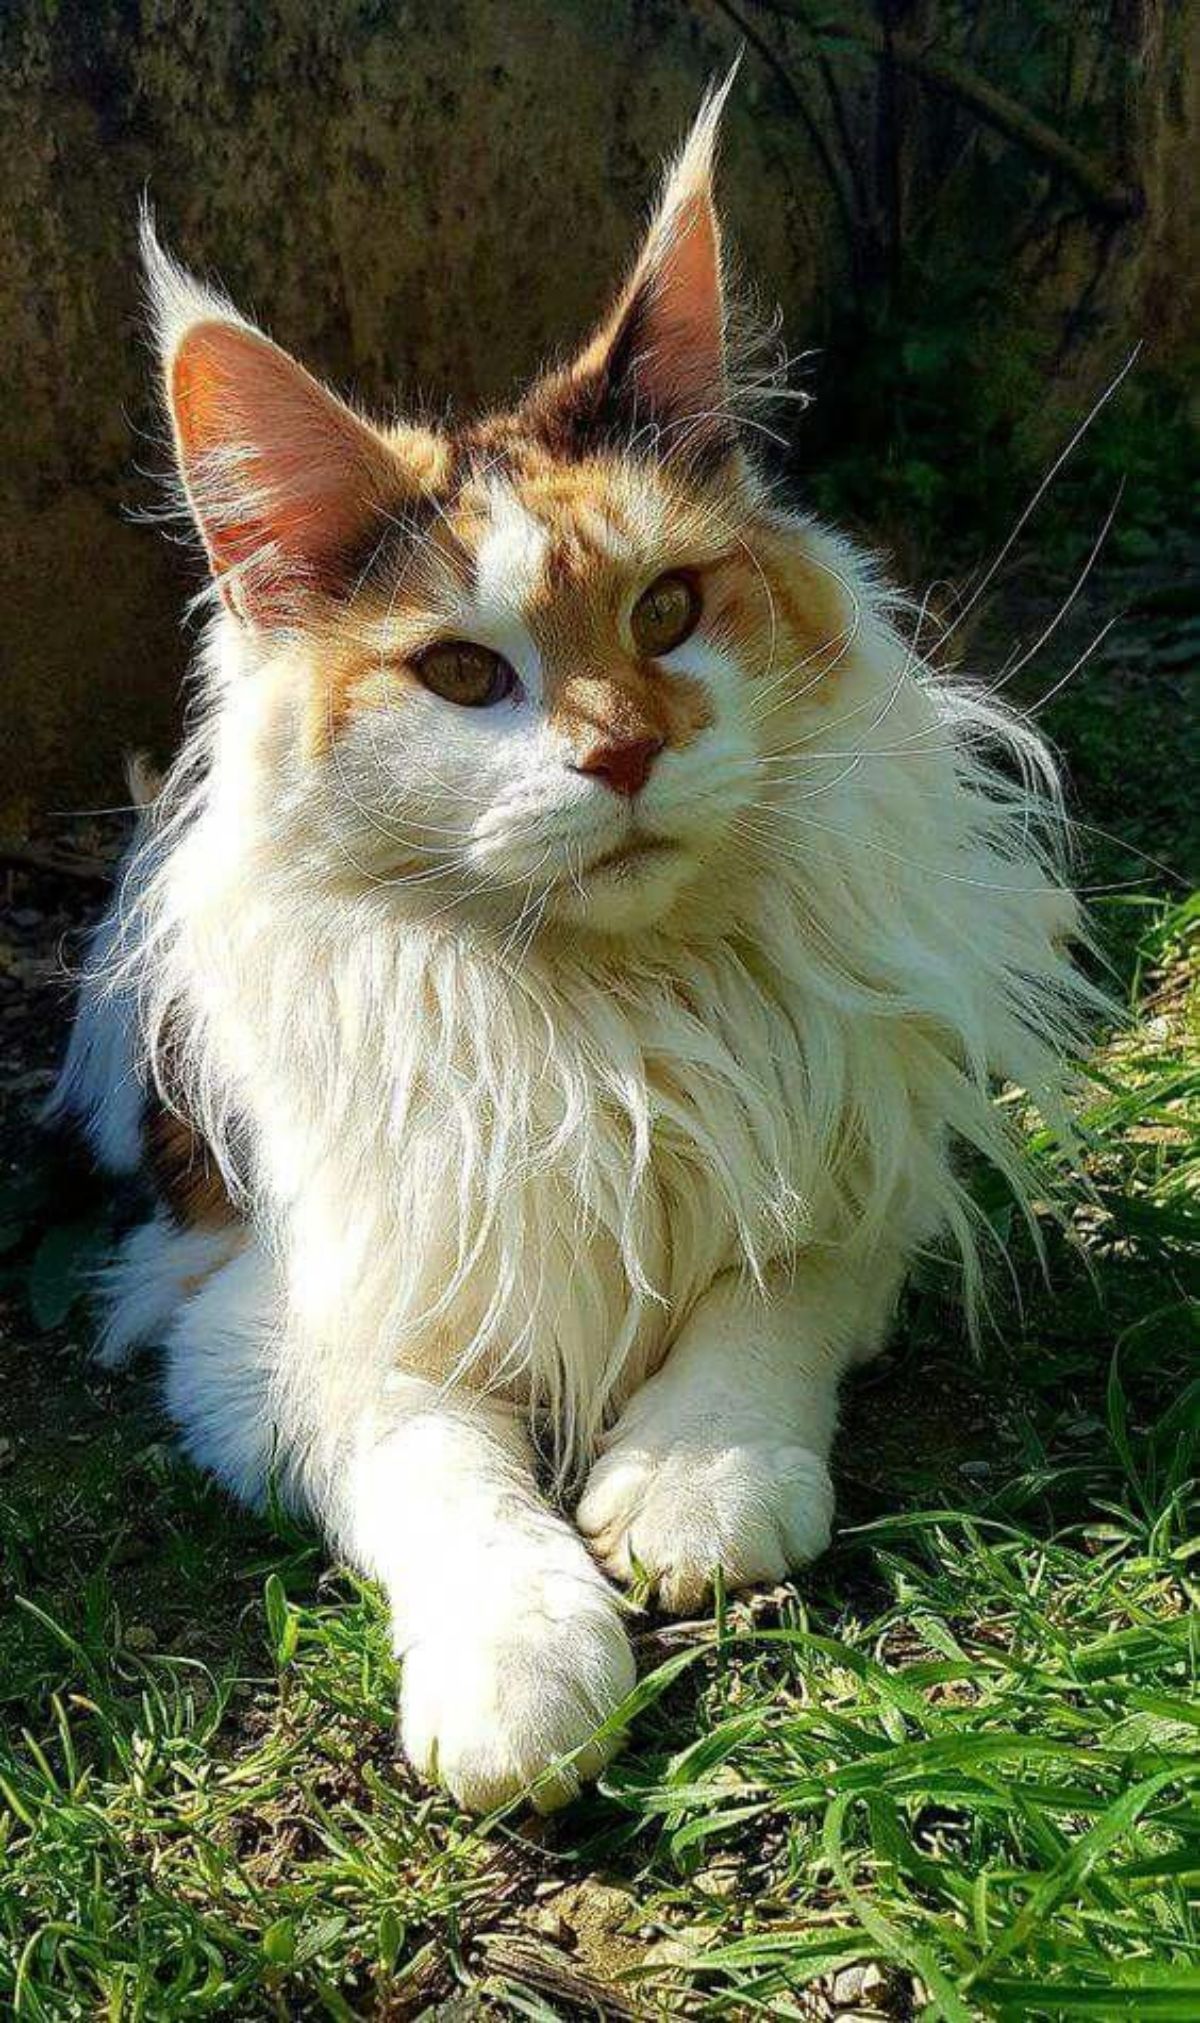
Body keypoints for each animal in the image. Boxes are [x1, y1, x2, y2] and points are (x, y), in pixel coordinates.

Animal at [49, 82, 1092, 1820]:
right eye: (466, 675)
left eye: (669, 611)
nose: (624, 754)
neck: (615, 1009)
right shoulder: (291, 1312)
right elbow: (450, 1480)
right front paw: (521, 1680)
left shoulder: (865, 1167)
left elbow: (765, 1301)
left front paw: (693, 1484)